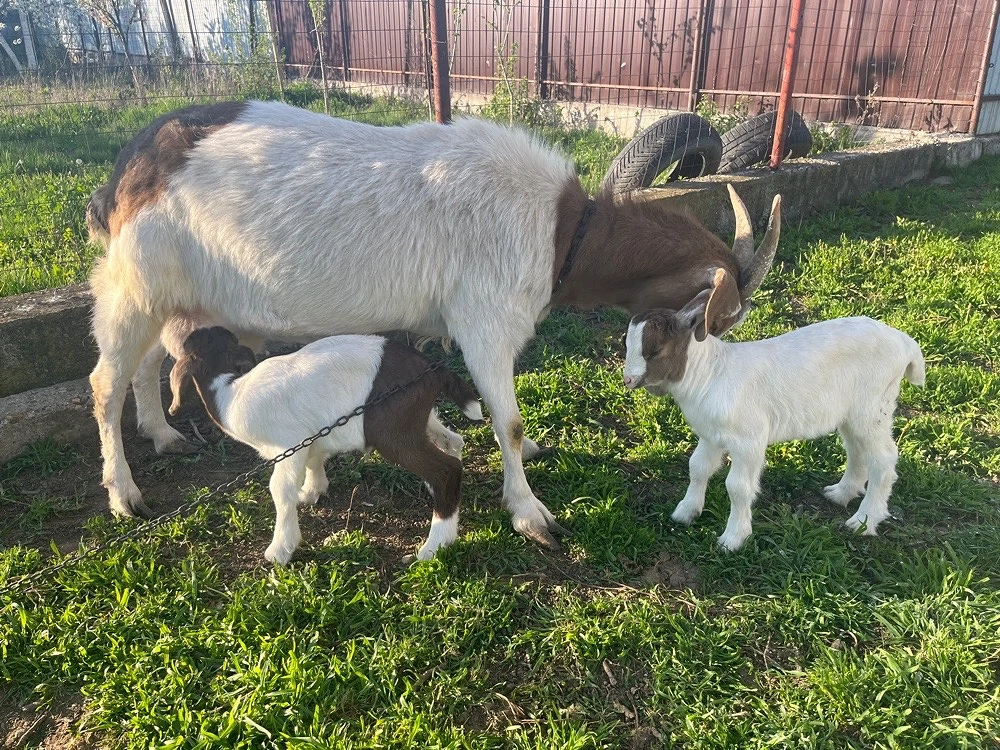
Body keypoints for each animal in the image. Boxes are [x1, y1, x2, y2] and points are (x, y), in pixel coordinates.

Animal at [168, 326, 483, 563]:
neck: (229, 391)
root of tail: (431, 369)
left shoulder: (288, 444)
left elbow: (280, 490)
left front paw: (280, 549)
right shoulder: (309, 439)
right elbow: (313, 460)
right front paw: (312, 491)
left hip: (393, 432)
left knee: (446, 469)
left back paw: (435, 545)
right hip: (418, 418)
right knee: (452, 441)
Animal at [623, 273, 925, 551]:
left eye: (655, 350)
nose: (628, 380)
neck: (711, 373)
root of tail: (906, 343)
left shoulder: (749, 440)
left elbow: (738, 487)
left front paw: (733, 539)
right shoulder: (711, 435)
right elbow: (697, 468)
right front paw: (685, 512)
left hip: (873, 407)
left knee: (883, 460)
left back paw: (864, 521)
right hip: (853, 412)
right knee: (856, 449)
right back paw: (840, 494)